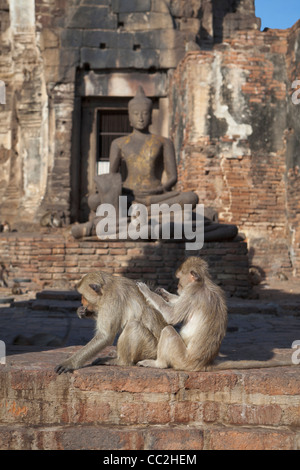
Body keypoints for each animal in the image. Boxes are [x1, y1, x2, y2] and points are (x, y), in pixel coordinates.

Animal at [137, 258, 294, 370]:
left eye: (179, 279)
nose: (177, 286)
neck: (203, 282)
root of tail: (202, 364)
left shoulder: (192, 293)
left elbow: (171, 316)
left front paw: (146, 291)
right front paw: (163, 292)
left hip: (181, 358)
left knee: (168, 330)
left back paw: (159, 364)